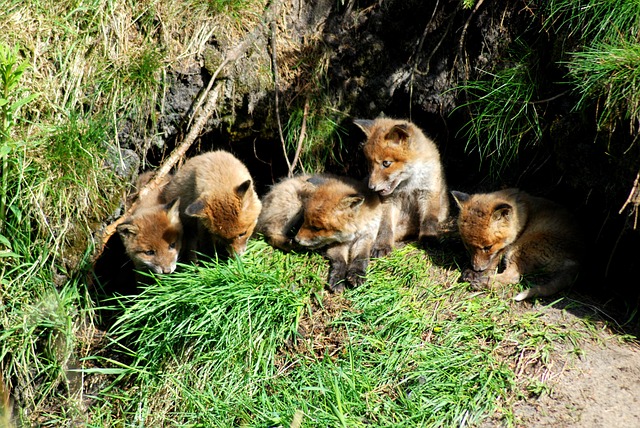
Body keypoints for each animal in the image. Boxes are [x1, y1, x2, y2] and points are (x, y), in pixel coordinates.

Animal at [354, 118, 449, 257]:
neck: (409, 185)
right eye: (370, 165)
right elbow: (385, 226)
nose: (371, 187)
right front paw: (382, 245)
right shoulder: (389, 200)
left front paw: (429, 239)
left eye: (386, 163)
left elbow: (429, 220)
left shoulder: (428, 192)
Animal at [451, 188, 583, 301]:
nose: (476, 268)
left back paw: (483, 283)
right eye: (468, 246)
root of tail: (577, 257)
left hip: (520, 249)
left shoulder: (509, 244)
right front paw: (472, 272)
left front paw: (479, 273)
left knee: (513, 276)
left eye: (488, 247)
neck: (523, 213)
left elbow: (493, 260)